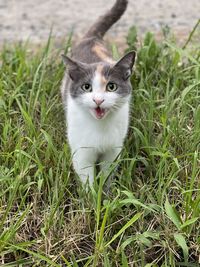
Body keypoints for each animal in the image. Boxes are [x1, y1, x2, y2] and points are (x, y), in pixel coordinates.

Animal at [61, 0, 136, 185]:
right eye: (86, 87)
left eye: (111, 87)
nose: (98, 100)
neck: (99, 128)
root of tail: (92, 38)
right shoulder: (81, 152)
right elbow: (86, 177)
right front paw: (91, 193)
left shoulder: (113, 150)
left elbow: (107, 173)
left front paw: (107, 190)